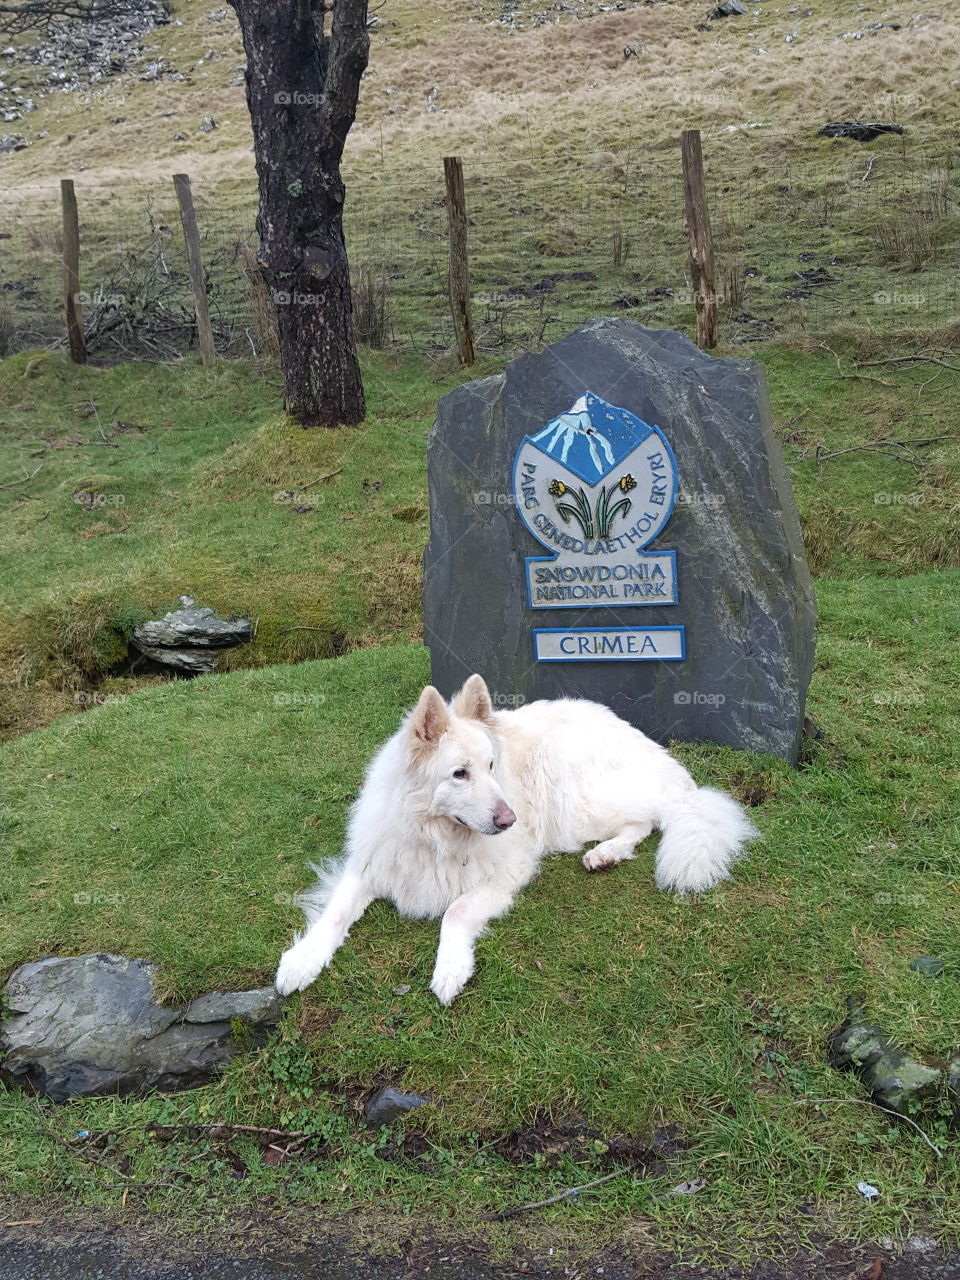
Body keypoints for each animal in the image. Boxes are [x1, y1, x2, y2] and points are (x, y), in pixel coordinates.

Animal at [273, 675, 757, 1003]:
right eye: (460, 773)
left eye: (491, 766)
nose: (509, 820)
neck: (436, 835)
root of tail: (657, 752)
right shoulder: (371, 864)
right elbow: (335, 914)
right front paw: (302, 960)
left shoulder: (505, 875)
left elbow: (455, 911)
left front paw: (450, 969)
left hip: (576, 799)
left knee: (649, 819)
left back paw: (607, 852)